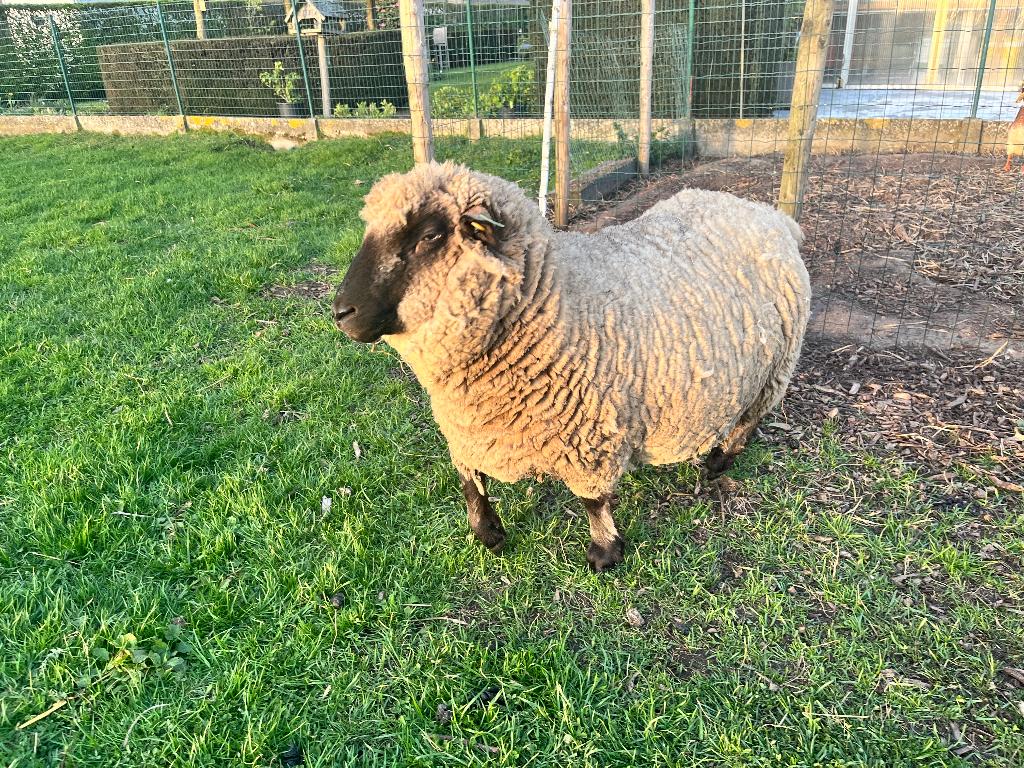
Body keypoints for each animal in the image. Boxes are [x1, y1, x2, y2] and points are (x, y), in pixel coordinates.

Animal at [332, 162, 811, 571]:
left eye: (429, 235)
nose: (341, 312)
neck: (556, 301)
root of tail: (770, 215)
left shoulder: (589, 437)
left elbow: (593, 502)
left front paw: (604, 552)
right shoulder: (468, 429)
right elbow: (471, 483)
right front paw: (488, 532)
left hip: (775, 368)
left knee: (749, 419)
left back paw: (717, 461)